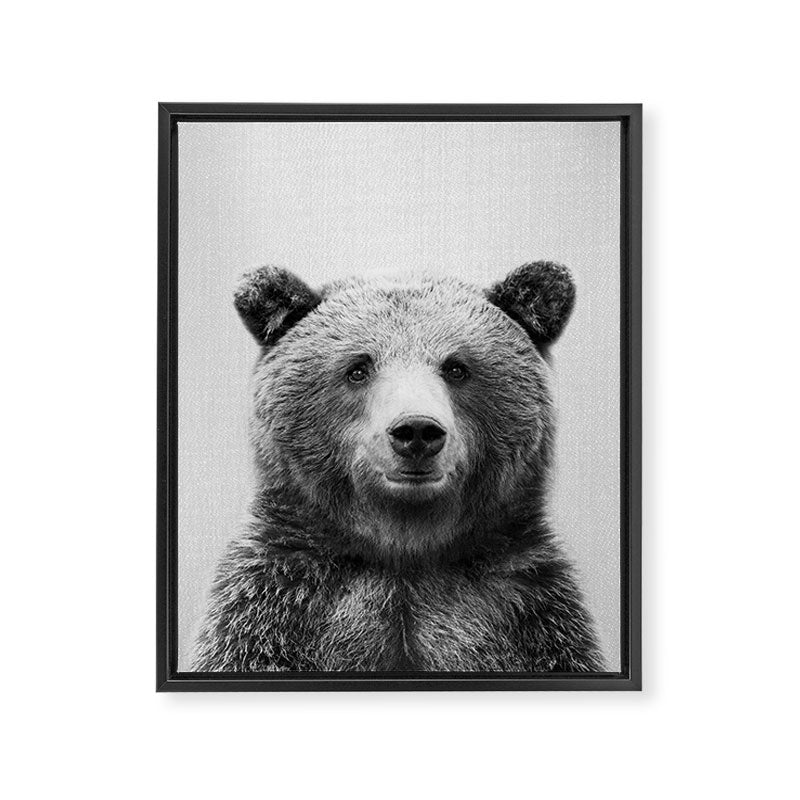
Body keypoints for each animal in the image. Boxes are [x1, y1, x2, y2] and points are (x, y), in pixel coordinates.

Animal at [192, 261, 604, 672]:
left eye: (457, 368)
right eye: (358, 368)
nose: (417, 430)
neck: (405, 551)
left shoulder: (530, 616)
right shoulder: (273, 609)